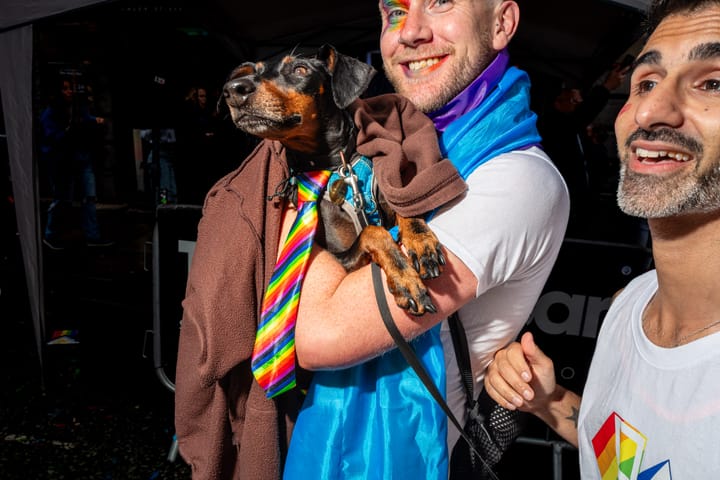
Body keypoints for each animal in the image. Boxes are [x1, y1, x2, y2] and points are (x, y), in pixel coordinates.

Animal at [222, 44, 448, 316]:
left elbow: (405, 207)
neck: (338, 166)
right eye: (255, 72)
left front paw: (422, 242)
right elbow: (373, 232)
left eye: (300, 69)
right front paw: (405, 280)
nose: (234, 89)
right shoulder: (339, 260)